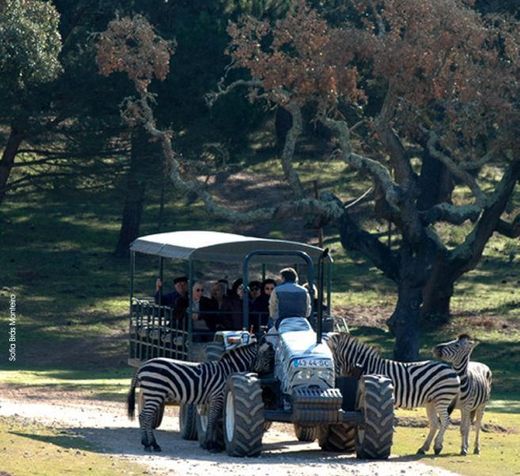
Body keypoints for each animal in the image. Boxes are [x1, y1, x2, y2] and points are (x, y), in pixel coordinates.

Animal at [128, 340, 274, 452]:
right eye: (268, 359)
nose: (270, 378)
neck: (227, 370)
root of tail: (143, 366)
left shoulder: (210, 399)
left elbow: (211, 419)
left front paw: (207, 443)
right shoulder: (217, 396)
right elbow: (213, 419)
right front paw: (211, 445)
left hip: (153, 394)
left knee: (143, 416)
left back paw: (147, 443)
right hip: (155, 392)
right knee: (145, 416)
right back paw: (151, 444)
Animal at [328, 332, 462, 456]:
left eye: (331, 359)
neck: (365, 366)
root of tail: (451, 370)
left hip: (442, 398)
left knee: (445, 421)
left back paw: (438, 447)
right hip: (431, 401)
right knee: (435, 423)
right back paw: (423, 448)